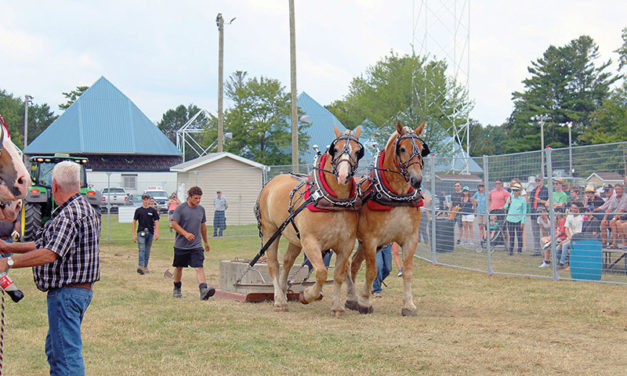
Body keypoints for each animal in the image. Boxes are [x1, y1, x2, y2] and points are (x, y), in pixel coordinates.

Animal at [254, 125, 364, 314]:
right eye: (335, 149)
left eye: (358, 151)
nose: (343, 175)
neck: (333, 202)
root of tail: (270, 182)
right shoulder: (310, 241)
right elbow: (321, 272)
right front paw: (307, 295)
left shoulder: (346, 244)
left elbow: (339, 275)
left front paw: (337, 307)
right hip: (271, 232)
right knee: (274, 264)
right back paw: (279, 300)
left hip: (295, 237)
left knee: (287, 261)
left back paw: (283, 292)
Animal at [346, 122, 430, 316]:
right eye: (402, 149)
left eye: (422, 149)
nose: (416, 180)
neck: (396, 196)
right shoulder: (371, 240)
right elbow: (371, 271)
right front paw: (365, 302)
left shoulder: (410, 239)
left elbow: (407, 271)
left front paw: (409, 305)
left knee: (354, 264)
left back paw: (352, 298)